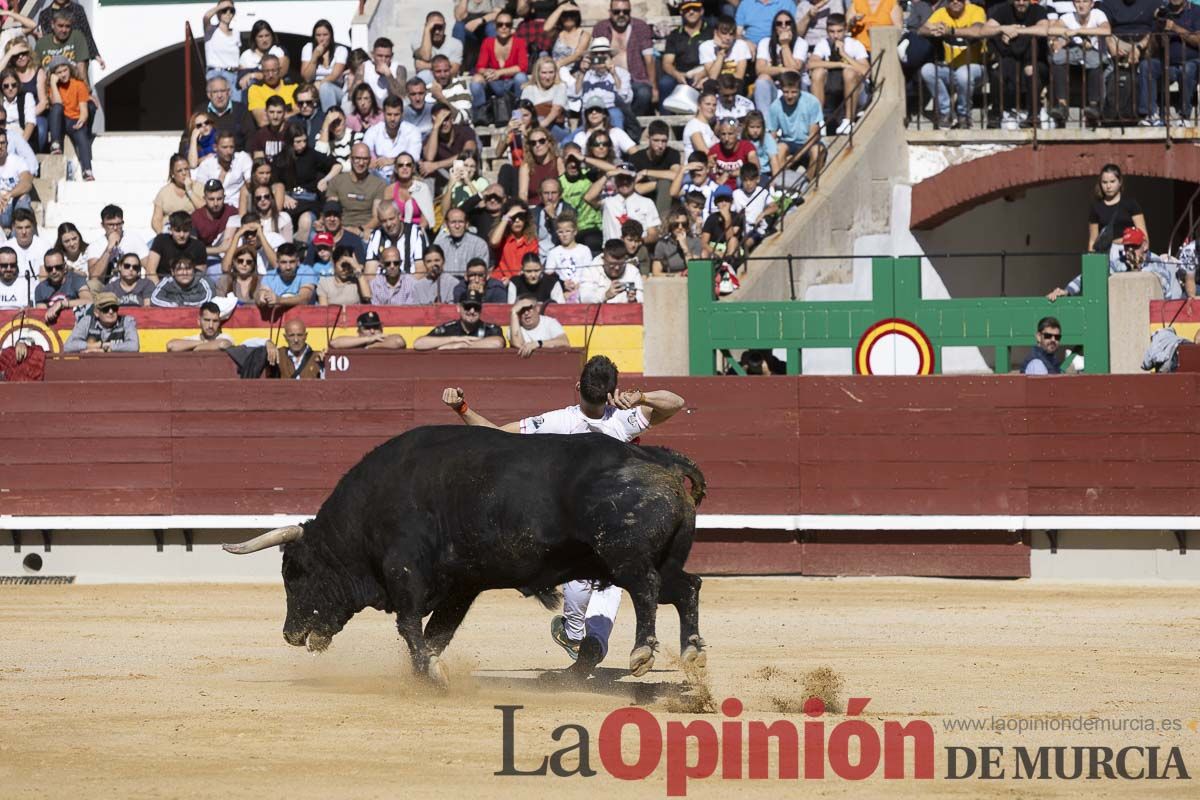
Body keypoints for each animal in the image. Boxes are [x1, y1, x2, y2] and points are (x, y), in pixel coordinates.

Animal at [222, 424, 705, 681]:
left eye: (294, 572)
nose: (289, 634)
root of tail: (655, 458)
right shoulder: (461, 586)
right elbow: (438, 632)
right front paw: (426, 673)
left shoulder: (405, 573)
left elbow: (411, 627)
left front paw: (429, 675)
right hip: (656, 559)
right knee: (686, 588)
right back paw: (693, 655)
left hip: (624, 557)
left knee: (646, 589)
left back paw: (642, 653)